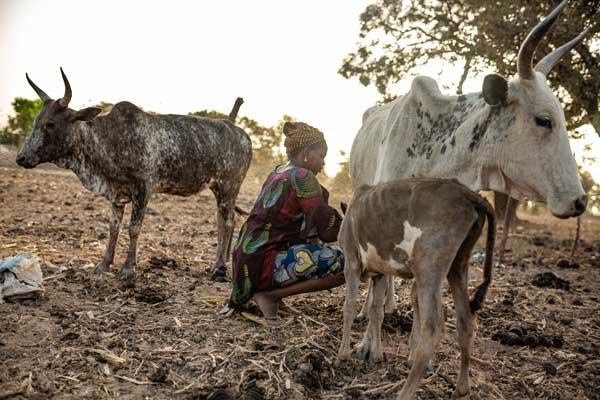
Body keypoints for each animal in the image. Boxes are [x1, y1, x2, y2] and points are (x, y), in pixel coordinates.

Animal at [16, 69, 251, 278]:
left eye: (51, 124)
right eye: (36, 122)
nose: (21, 158)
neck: (108, 139)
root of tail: (239, 131)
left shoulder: (143, 189)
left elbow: (133, 228)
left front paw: (128, 268)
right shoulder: (117, 194)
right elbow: (113, 228)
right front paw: (104, 264)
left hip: (229, 187)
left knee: (229, 223)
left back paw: (219, 268)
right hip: (218, 189)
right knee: (221, 222)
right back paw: (217, 264)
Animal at [336, 179, 494, 400]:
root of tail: (467, 193)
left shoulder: (351, 262)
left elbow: (349, 307)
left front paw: (342, 355)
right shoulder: (380, 272)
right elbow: (376, 312)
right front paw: (376, 354)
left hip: (428, 266)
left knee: (432, 328)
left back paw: (405, 393)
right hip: (458, 264)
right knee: (465, 323)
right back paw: (462, 388)